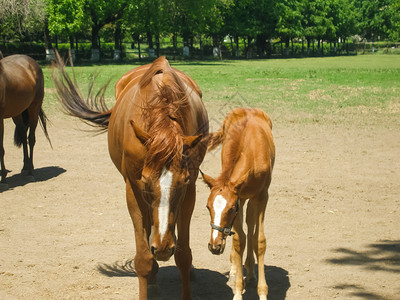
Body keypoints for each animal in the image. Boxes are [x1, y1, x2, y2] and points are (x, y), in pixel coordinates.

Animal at [0, 54, 51, 185]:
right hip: (17, 113)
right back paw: (25, 167)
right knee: (23, 135)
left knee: (31, 139)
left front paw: (3, 180)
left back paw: (30, 172)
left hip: (34, 109)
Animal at [52, 55, 209, 298]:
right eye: (145, 181)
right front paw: (150, 269)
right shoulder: (134, 191)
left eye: (182, 182)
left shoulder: (189, 191)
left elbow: (183, 255)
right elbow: (143, 259)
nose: (163, 248)